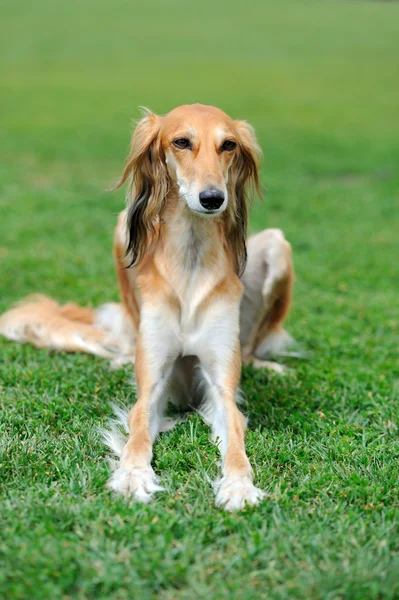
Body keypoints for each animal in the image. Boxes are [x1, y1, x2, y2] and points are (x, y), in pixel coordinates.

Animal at [0, 104, 294, 510]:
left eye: (229, 144)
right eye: (181, 142)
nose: (213, 198)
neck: (190, 259)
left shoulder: (221, 387)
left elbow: (235, 439)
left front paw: (238, 485)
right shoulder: (153, 384)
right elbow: (138, 431)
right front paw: (133, 475)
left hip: (279, 248)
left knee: (250, 348)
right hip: (123, 230)